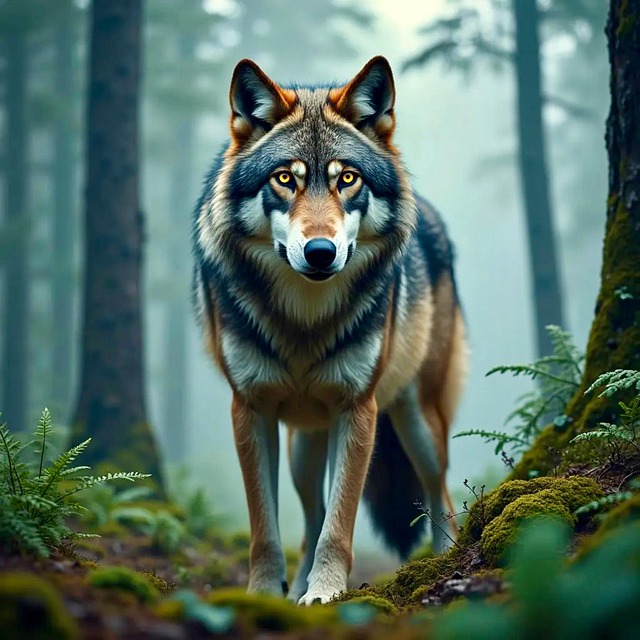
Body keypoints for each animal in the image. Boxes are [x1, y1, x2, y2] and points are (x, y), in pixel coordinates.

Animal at [192, 56, 467, 605]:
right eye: (284, 178)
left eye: (348, 179)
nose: (320, 252)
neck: (305, 318)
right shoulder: (249, 410)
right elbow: (266, 527)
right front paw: (263, 593)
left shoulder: (358, 410)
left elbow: (339, 526)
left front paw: (324, 595)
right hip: (304, 445)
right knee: (310, 514)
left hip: (417, 422)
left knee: (440, 493)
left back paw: (443, 563)